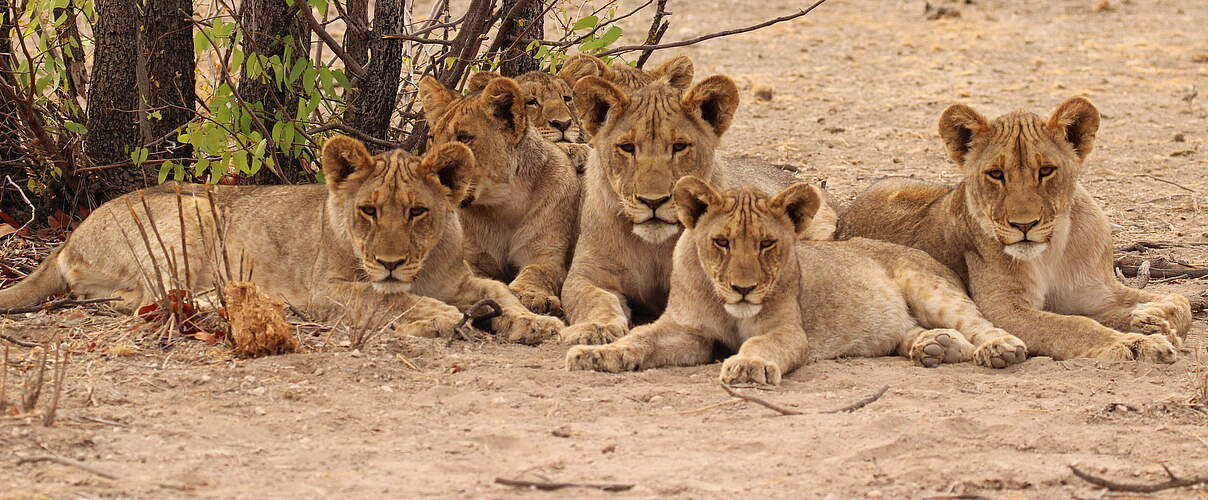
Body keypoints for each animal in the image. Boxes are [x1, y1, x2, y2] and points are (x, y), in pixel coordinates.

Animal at [0, 138, 562, 345]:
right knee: (145, 301)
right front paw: (437, 316)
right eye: (368, 211)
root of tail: (69, 236)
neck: (422, 268)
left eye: (417, 212)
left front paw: (536, 322)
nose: (389, 261)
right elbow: (388, 300)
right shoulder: (327, 288)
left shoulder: (462, 279)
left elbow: (504, 291)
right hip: (194, 211)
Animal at [420, 74, 579, 316]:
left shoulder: (547, 255)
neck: (503, 204)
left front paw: (531, 294)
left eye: (464, 138)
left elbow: (537, 271)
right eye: (431, 138)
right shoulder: (471, 258)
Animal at [558, 74, 835, 345]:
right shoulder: (587, 272)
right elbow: (592, 298)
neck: (652, 247)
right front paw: (596, 328)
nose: (653, 201)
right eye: (627, 147)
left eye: (679, 146)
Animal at [565, 177, 1029, 384]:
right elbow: (639, 338)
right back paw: (933, 346)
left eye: (767, 244)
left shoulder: (788, 331)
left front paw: (749, 365)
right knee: (919, 334)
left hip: (931, 288)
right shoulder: (687, 331)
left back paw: (1000, 350)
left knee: (980, 325)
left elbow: (761, 344)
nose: (744, 289)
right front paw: (596, 354)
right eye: (721, 242)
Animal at [835, 96, 1183, 362]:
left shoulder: (1096, 290)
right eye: (996, 174)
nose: (1024, 224)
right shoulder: (1004, 310)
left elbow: (1179, 302)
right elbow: (1075, 326)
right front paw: (1138, 342)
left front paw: (1153, 319)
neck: (1052, 251)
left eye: (1046, 170)